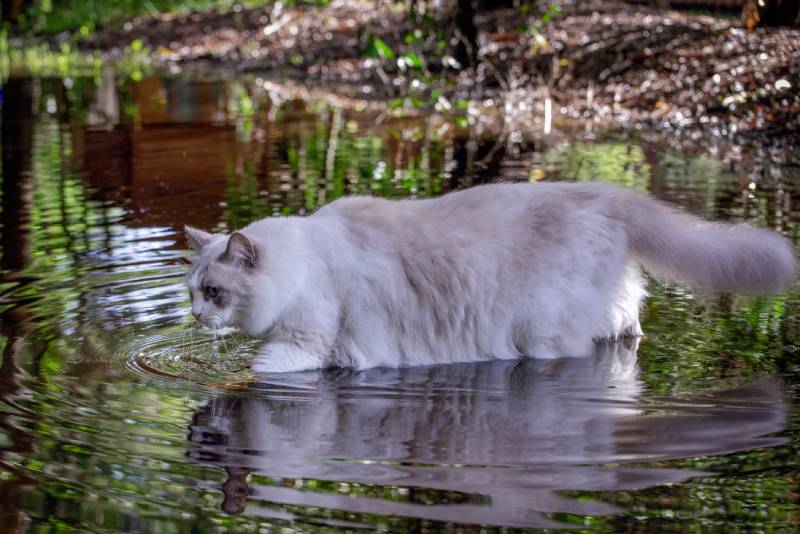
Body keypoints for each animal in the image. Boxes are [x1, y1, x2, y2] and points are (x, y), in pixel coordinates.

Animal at [186, 182, 792, 374]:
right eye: (192, 292)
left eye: (213, 293)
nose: (192, 315)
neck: (304, 258)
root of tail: (608, 193)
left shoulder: (304, 344)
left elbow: (253, 373)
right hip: (612, 309)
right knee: (627, 329)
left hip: (544, 333)